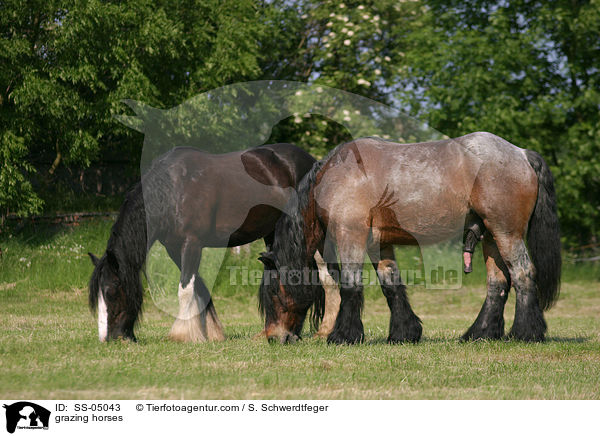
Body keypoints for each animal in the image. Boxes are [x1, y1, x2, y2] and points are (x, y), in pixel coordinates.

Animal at [88, 145, 318, 342]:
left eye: (110, 292)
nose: (109, 338)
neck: (172, 190)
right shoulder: (175, 249)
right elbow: (198, 286)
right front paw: (209, 333)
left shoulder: (191, 244)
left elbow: (185, 290)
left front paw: (182, 334)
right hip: (273, 234)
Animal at [258, 132, 564, 344]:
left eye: (273, 292)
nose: (275, 337)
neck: (335, 176)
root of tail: (522, 154)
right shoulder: (378, 243)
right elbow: (391, 286)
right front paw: (404, 333)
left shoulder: (350, 234)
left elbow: (351, 286)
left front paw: (343, 335)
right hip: (490, 237)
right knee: (497, 283)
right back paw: (480, 333)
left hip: (506, 233)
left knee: (523, 274)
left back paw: (526, 333)